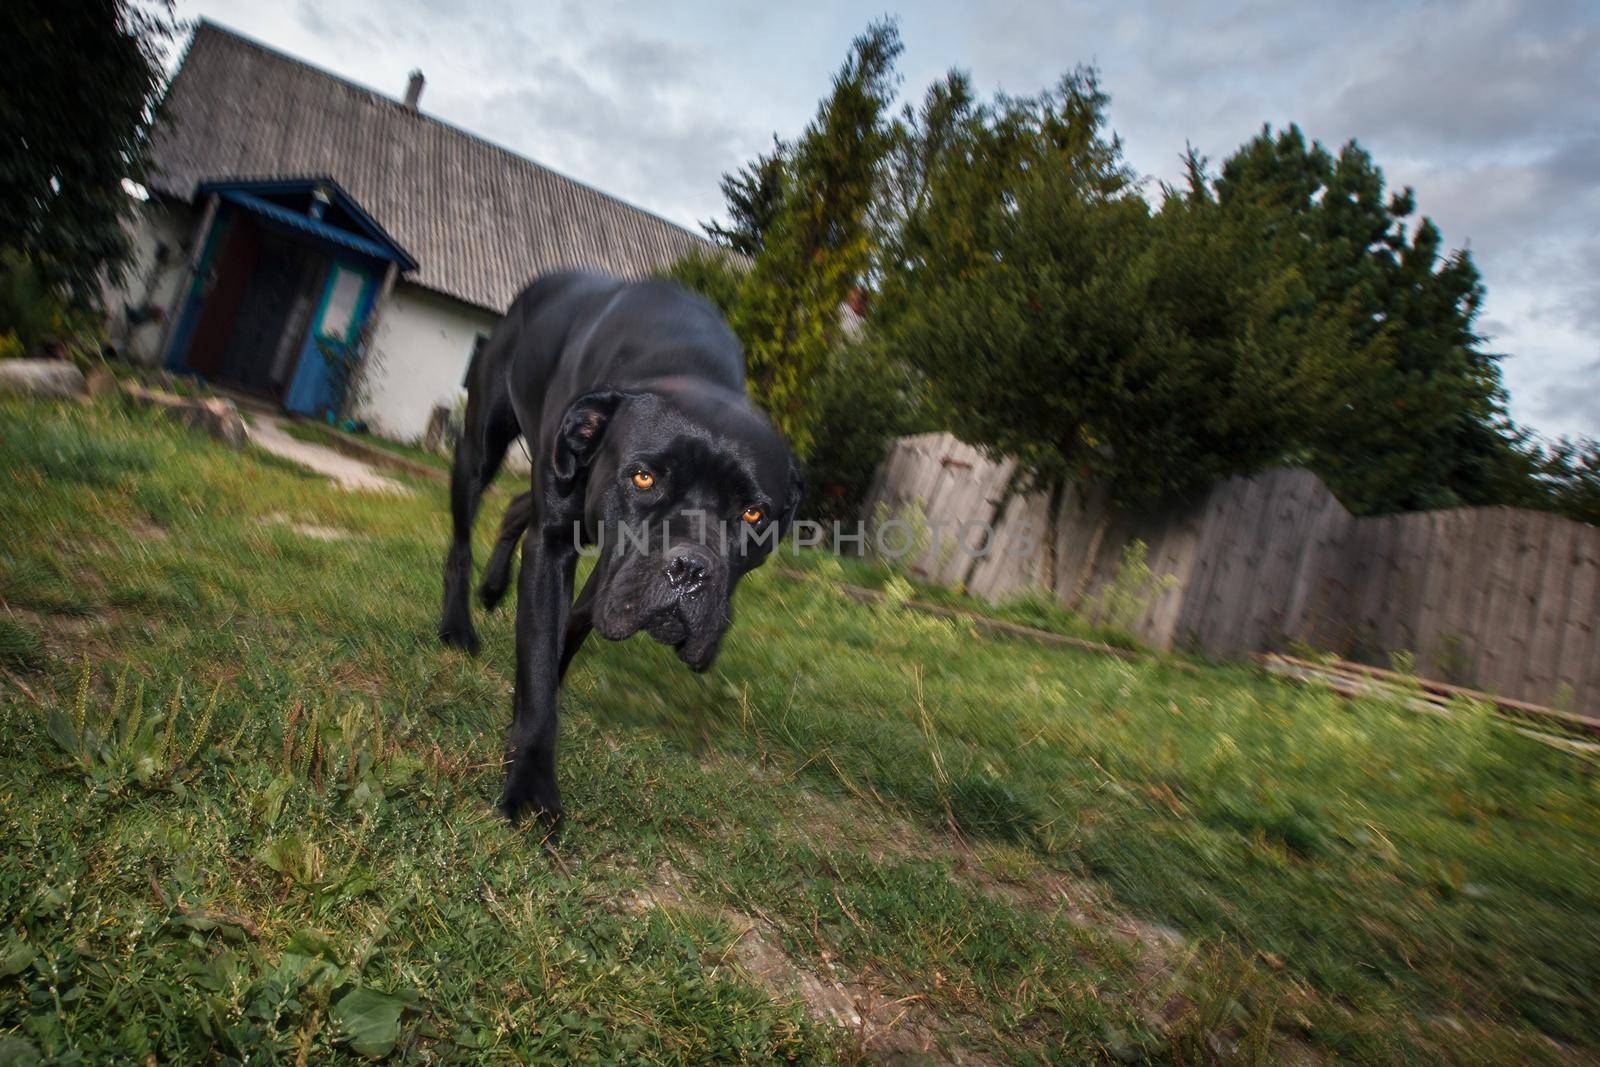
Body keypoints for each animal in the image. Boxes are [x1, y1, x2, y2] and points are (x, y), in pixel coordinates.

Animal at [435, 271, 800, 831]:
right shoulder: (555, 542)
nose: (690, 569)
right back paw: (457, 624)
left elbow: (562, 636)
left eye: (754, 514)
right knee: (462, 536)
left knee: (517, 507)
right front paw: (532, 782)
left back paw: (494, 588)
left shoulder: (608, 571)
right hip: (481, 445)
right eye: (643, 477)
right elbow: (538, 658)